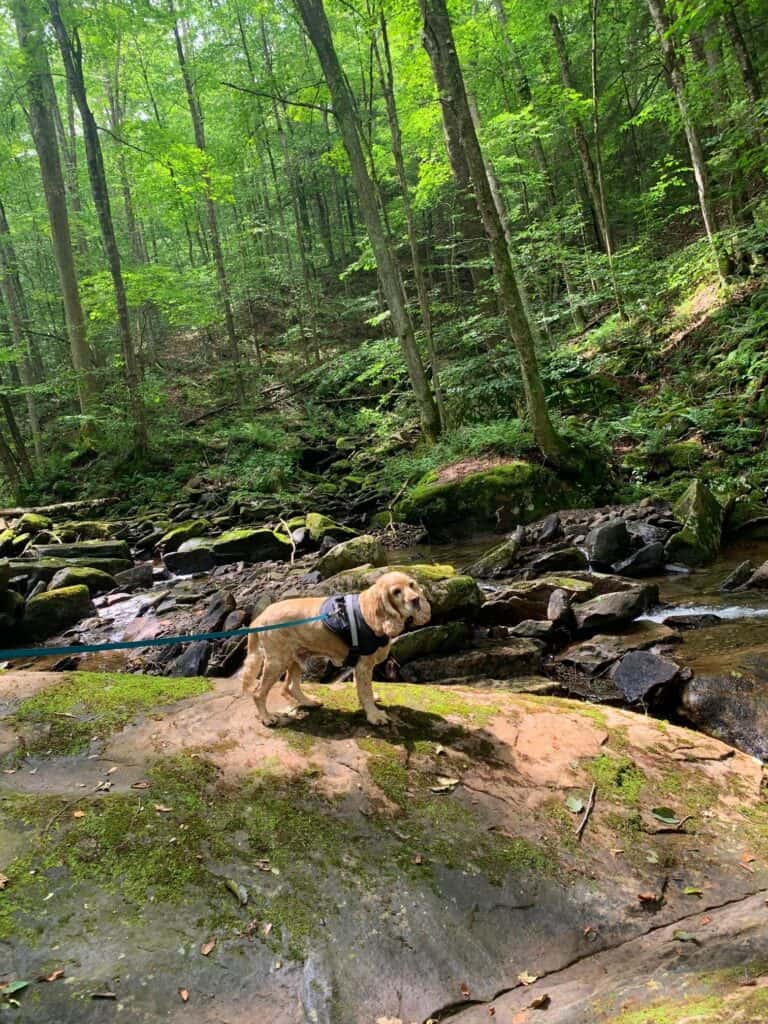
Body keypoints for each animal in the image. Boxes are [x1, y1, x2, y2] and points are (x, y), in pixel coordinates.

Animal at [241, 569, 434, 729]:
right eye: (396, 592)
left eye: (412, 585)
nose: (416, 600)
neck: (372, 613)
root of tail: (260, 617)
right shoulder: (363, 664)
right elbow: (365, 690)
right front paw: (375, 715)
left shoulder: (361, 666)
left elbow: (363, 688)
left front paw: (371, 702)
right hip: (277, 662)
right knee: (258, 693)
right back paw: (266, 718)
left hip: (297, 657)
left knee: (289, 687)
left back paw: (309, 702)